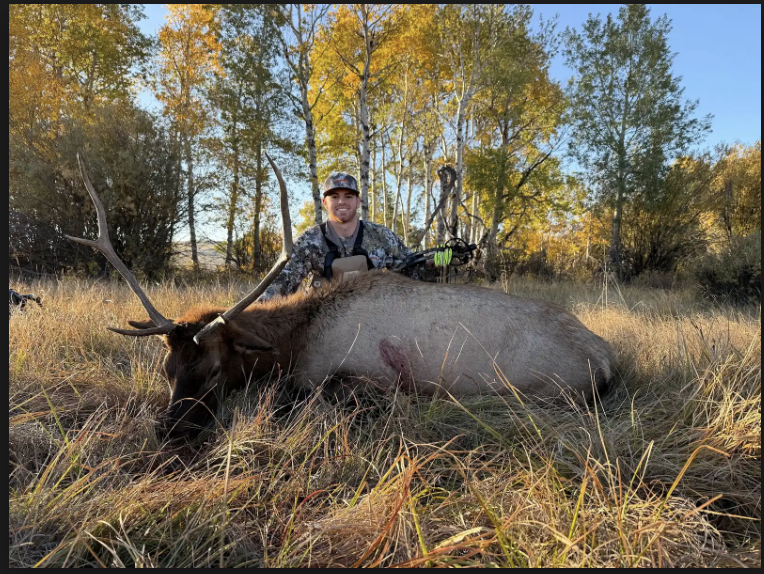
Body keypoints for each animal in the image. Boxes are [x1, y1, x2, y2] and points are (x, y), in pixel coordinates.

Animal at [68, 156, 617, 437]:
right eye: (167, 370)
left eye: (215, 370)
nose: (169, 430)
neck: (298, 342)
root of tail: (607, 358)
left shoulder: (362, 378)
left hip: (544, 391)